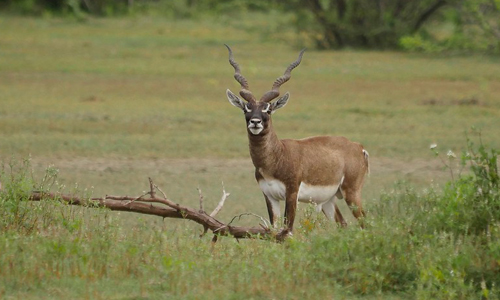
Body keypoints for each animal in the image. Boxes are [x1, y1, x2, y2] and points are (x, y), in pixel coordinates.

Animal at [225, 44, 370, 240]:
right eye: (247, 108)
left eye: (268, 109)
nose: (255, 122)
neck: (278, 156)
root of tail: (358, 147)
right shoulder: (269, 196)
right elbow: (274, 230)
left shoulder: (292, 193)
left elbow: (287, 230)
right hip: (328, 200)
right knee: (343, 225)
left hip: (352, 193)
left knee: (365, 223)